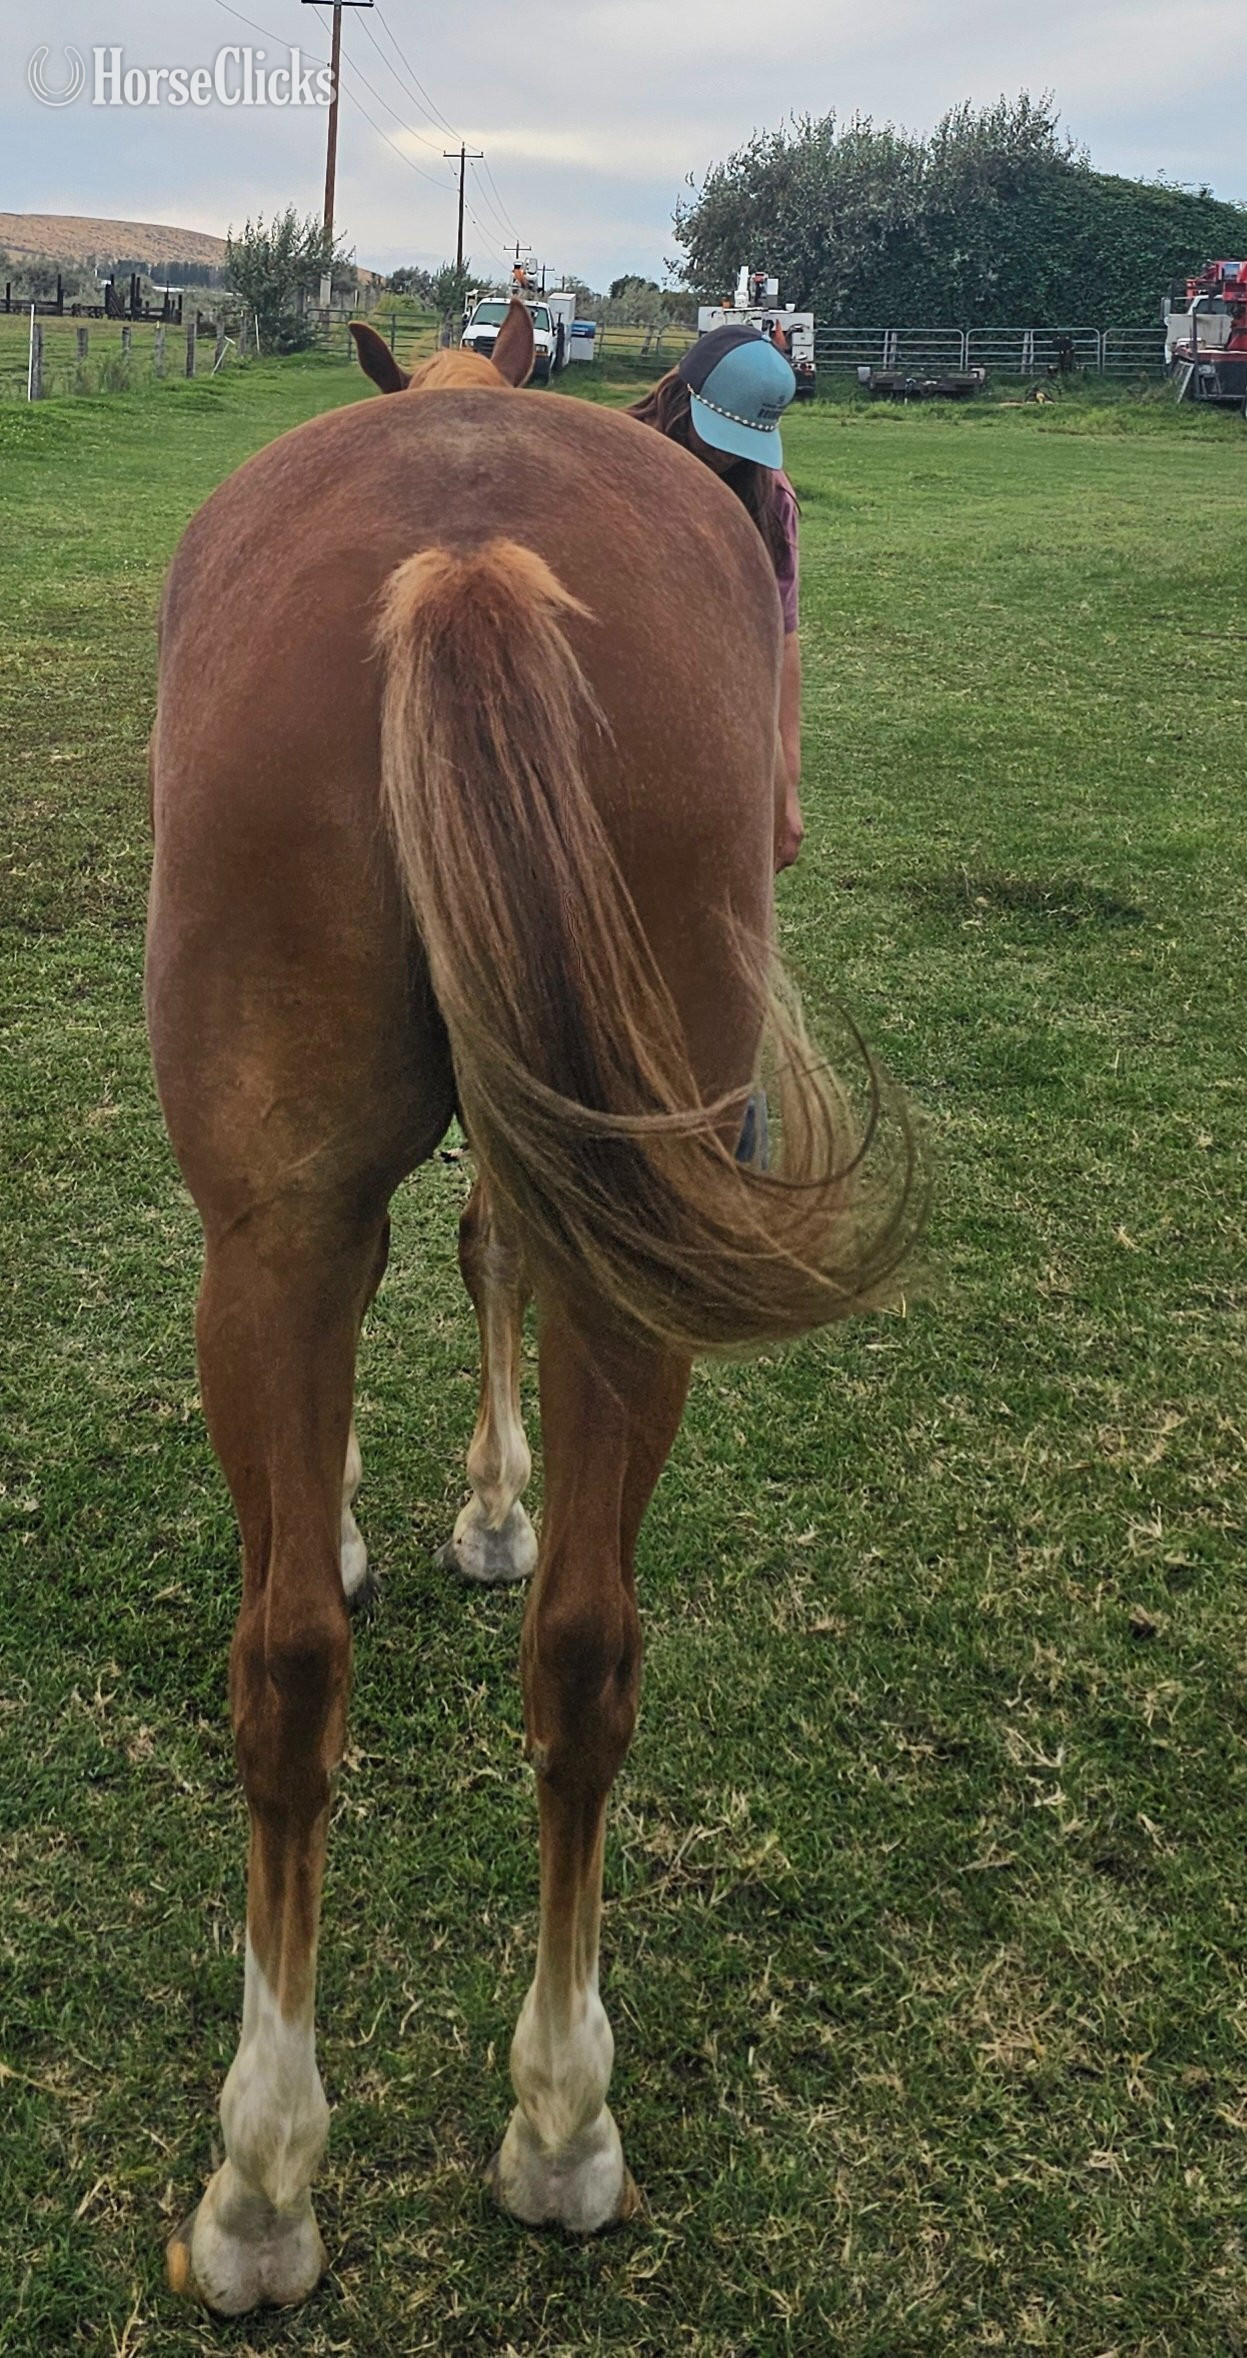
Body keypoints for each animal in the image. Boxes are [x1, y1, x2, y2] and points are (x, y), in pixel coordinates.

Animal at [145, 298, 916, 2314]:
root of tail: (467, 549)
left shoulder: (318, 1218)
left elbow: (440, 1269)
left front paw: (412, 1507)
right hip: (626, 1255)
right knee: (575, 1654)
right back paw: (554, 2127)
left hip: (297, 1226)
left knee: (295, 1664)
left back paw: (265, 2180)